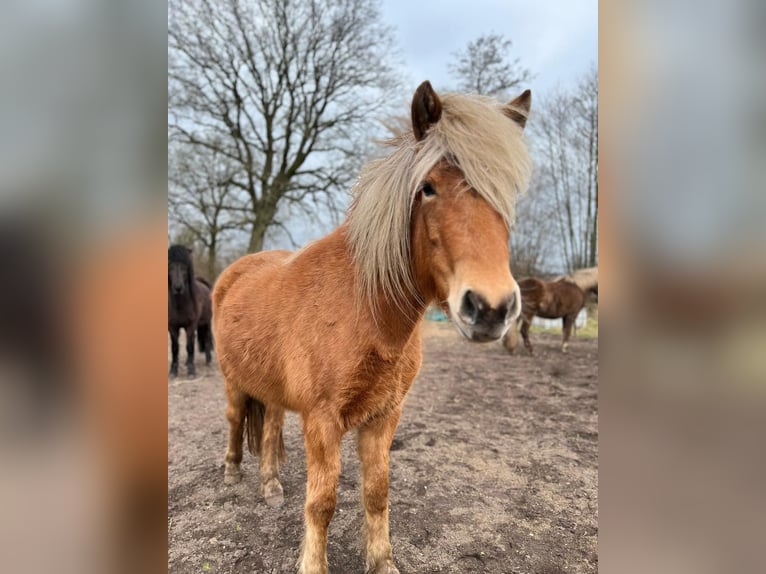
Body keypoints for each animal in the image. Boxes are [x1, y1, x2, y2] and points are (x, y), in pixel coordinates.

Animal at [168, 245, 212, 377]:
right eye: (170, 266)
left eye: (184, 266)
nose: (178, 287)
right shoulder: (172, 327)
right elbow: (175, 348)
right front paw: (173, 371)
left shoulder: (191, 325)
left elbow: (190, 346)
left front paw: (191, 371)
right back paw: (187, 362)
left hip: (206, 323)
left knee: (207, 339)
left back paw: (208, 361)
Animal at [212, 81, 532, 574]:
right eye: (428, 188)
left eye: (507, 195)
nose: (491, 307)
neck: (366, 311)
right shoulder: (323, 420)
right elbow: (321, 503)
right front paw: (313, 565)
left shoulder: (384, 417)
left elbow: (377, 493)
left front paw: (382, 562)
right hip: (233, 381)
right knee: (233, 422)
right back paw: (232, 472)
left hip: (273, 392)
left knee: (268, 431)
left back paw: (271, 486)